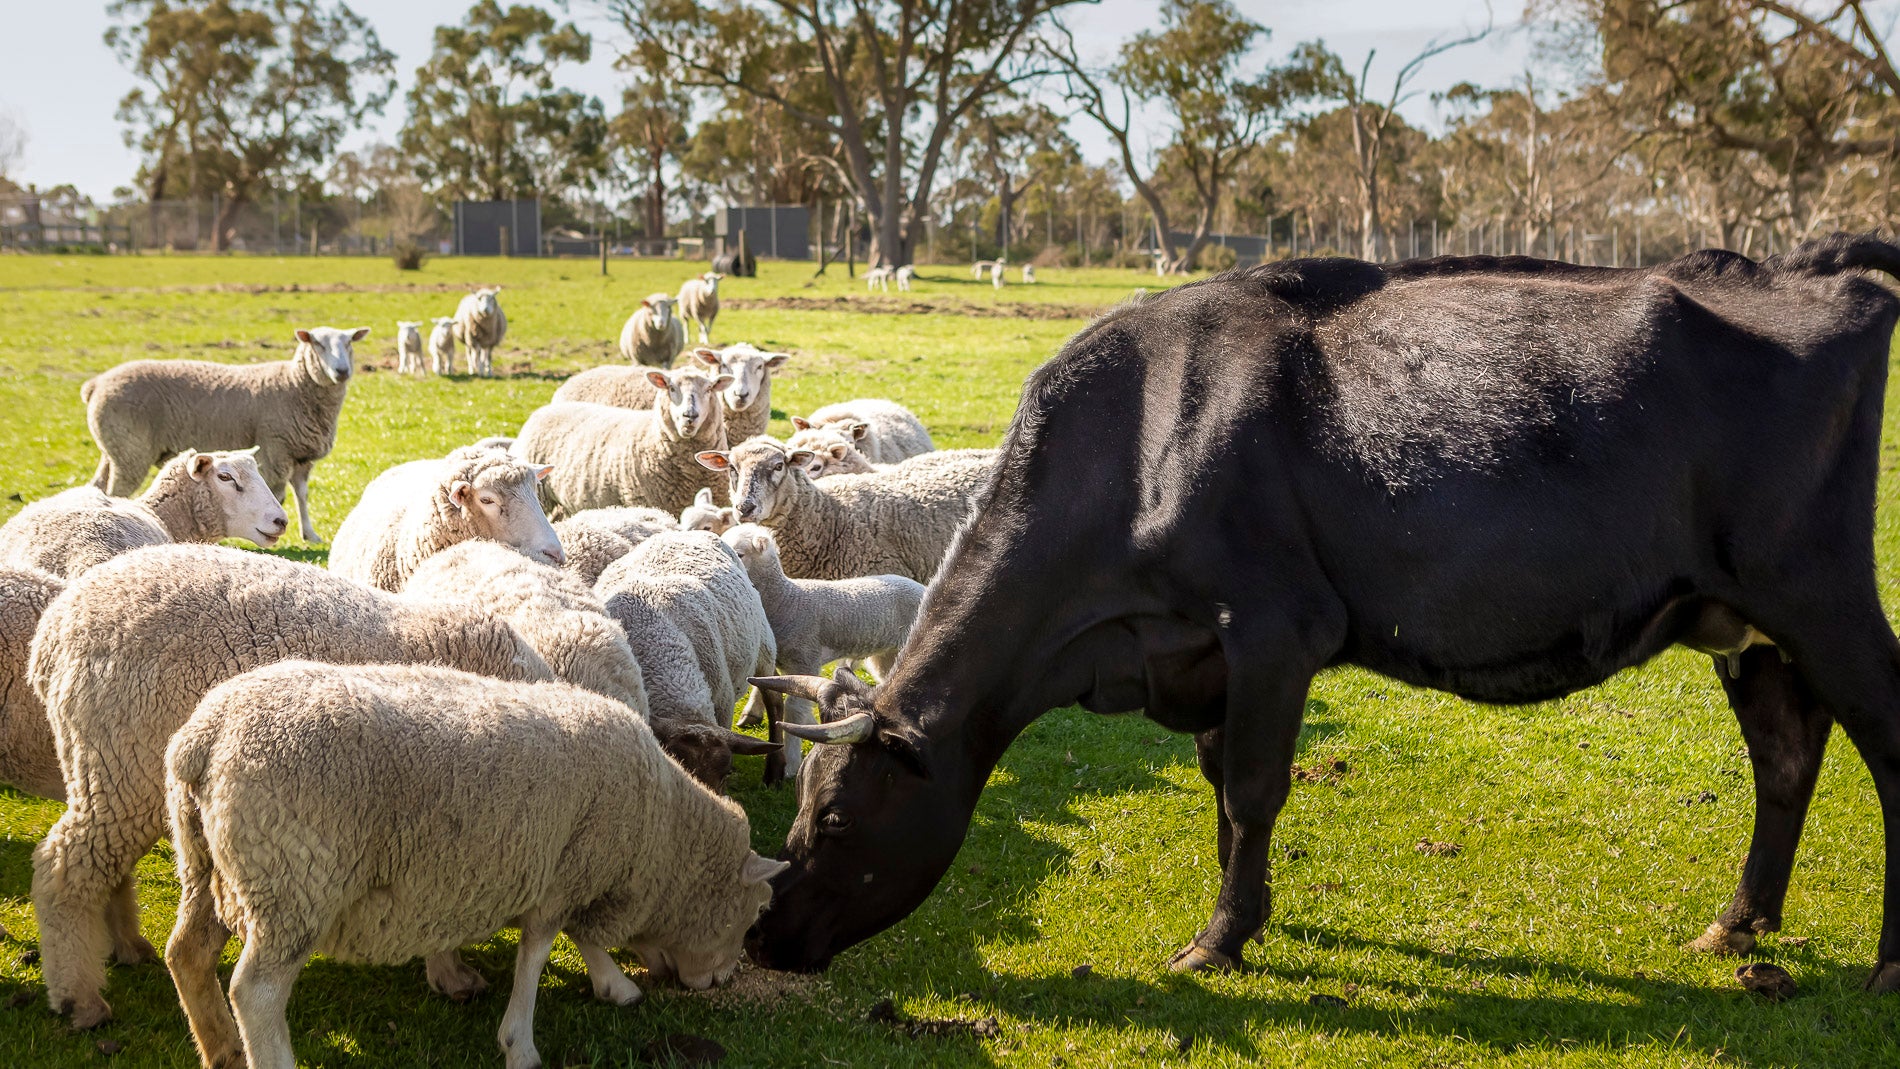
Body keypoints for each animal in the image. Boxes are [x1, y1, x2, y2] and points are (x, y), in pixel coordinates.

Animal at [28, 543, 555, 1027]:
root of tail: (53, 630)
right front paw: (452, 974)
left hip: (104, 769)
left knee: (102, 866)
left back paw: (126, 946)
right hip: (121, 764)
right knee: (64, 867)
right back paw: (80, 997)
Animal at [81, 325, 366, 543]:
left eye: (349, 343)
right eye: (317, 344)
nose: (342, 371)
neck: (294, 384)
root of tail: (96, 384)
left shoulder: (301, 456)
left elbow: (302, 496)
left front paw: (310, 535)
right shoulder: (277, 448)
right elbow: (281, 495)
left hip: (114, 450)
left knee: (97, 485)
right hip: (131, 452)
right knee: (116, 489)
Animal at [164, 661, 783, 1069]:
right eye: (752, 916)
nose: (721, 981)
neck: (659, 832)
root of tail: (205, 737)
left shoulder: (550, 870)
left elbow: (576, 937)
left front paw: (611, 984)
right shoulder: (566, 868)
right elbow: (540, 951)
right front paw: (523, 1042)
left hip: (210, 867)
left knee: (187, 953)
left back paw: (220, 1047)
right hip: (293, 881)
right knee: (257, 993)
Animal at [595, 531, 784, 783]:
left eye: (725, 775)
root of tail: (684, 532)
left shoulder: (723, 706)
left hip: (763, 645)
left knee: (774, 697)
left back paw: (775, 772)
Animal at [722, 524, 924, 773]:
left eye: (740, 554)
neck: (787, 599)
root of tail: (923, 587)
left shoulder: (806, 657)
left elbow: (795, 709)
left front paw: (791, 764)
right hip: (887, 654)